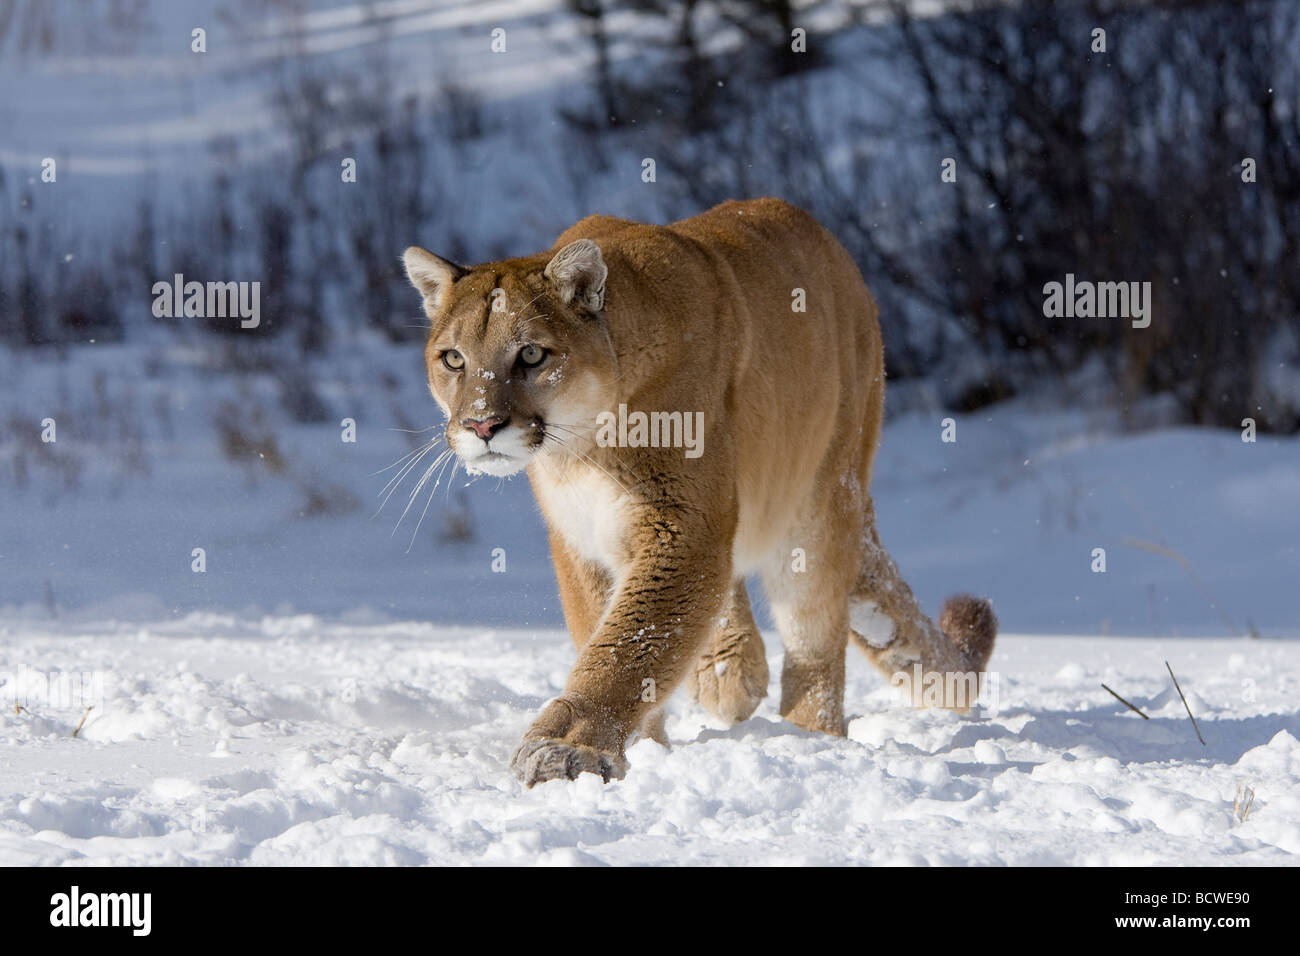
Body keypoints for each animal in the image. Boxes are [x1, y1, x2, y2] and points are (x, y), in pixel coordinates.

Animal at [401, 198, 996, 787]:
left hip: (819, 505)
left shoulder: (681, 522)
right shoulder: (584, 538)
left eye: (530, 355)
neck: (586, 446)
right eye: (453, 358)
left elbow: (629, 642)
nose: (481, 424)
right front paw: (642, 746)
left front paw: (565, 748)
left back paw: (809, 739)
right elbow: (607, 627)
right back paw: (731, 672)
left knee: (815, 646)